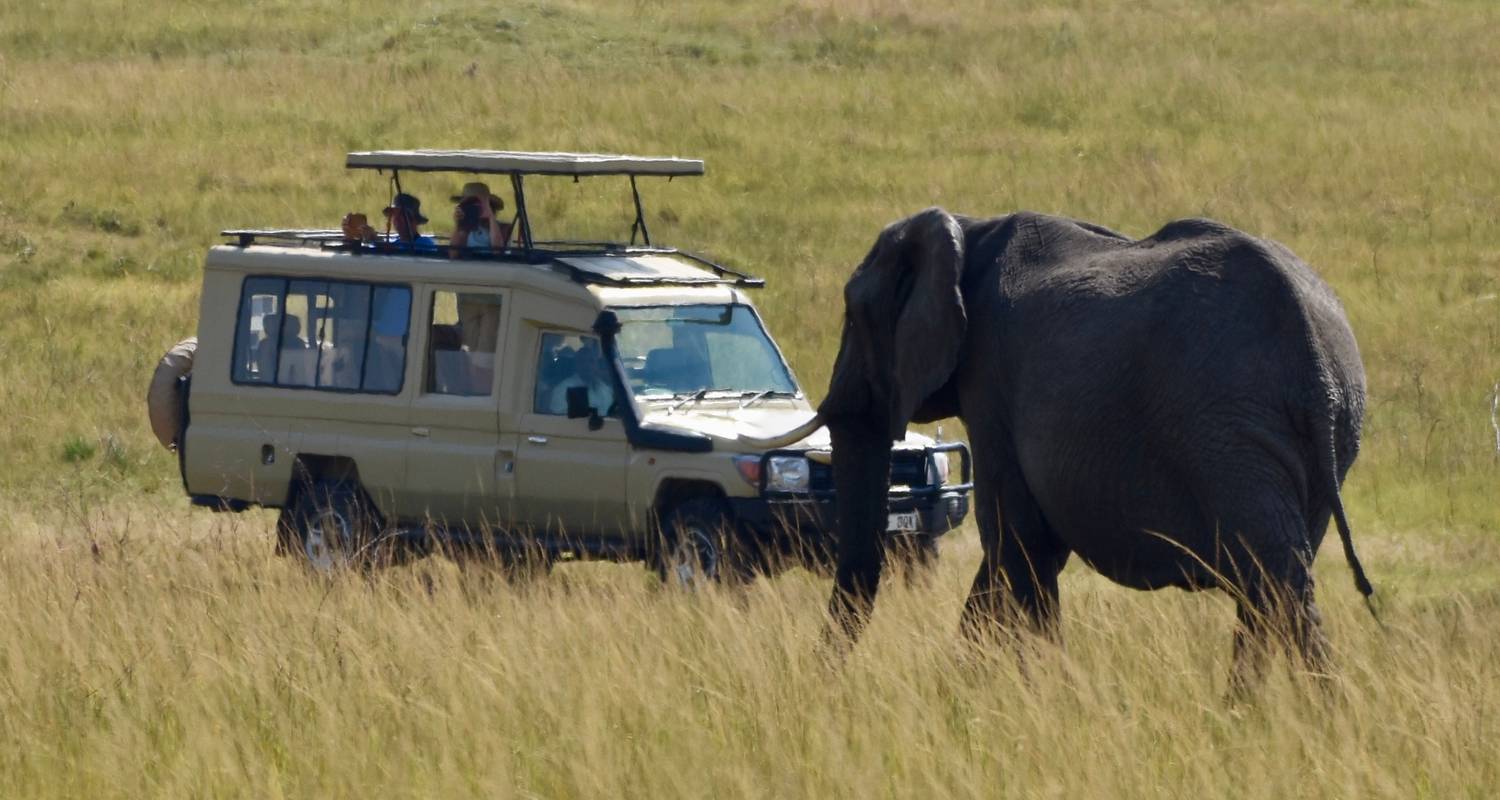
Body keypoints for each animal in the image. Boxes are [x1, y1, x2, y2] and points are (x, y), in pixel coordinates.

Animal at [750, 207, 1374, 687]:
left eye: (853, 315)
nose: (821, 686)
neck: (968, 231)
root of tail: (1314, 350)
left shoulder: (992, 380)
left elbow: (1016, 541)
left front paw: (1032, 697)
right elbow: (1020, 551)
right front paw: (968, 694)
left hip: (1230, 428)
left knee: (1276, 579)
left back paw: (1313, 721)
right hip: (1321, 437)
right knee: (1273, 580)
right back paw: (1247, 718)